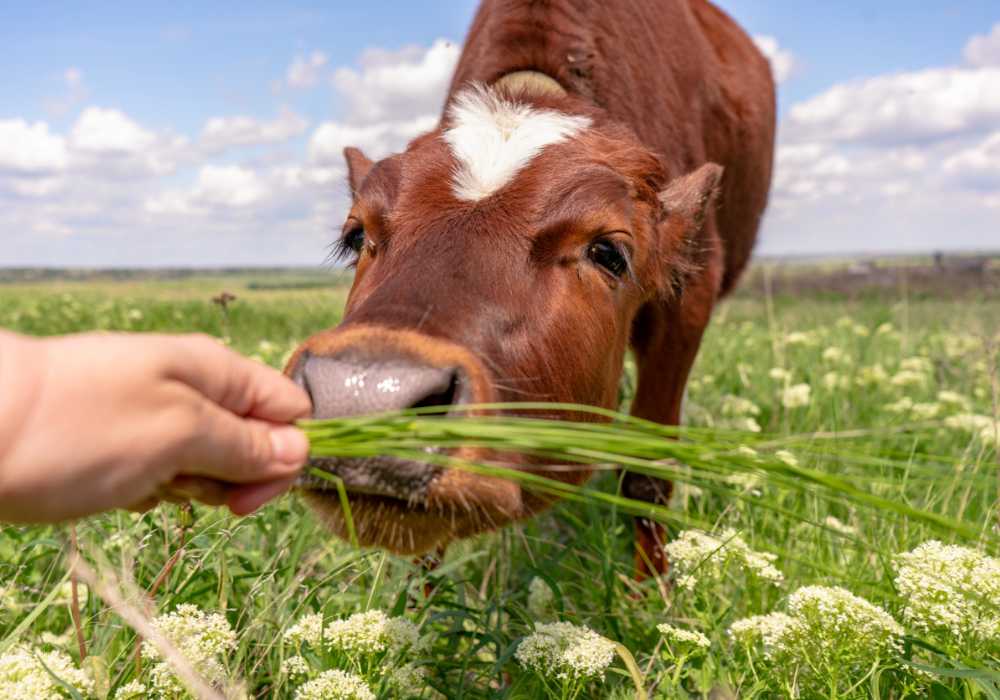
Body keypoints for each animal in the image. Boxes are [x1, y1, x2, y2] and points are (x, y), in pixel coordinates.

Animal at [286, 0, 776, 580]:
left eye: (609, 251)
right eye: (356, 234)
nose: (361, 396)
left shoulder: (690, 299)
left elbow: (647, 474)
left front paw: (651, 598)